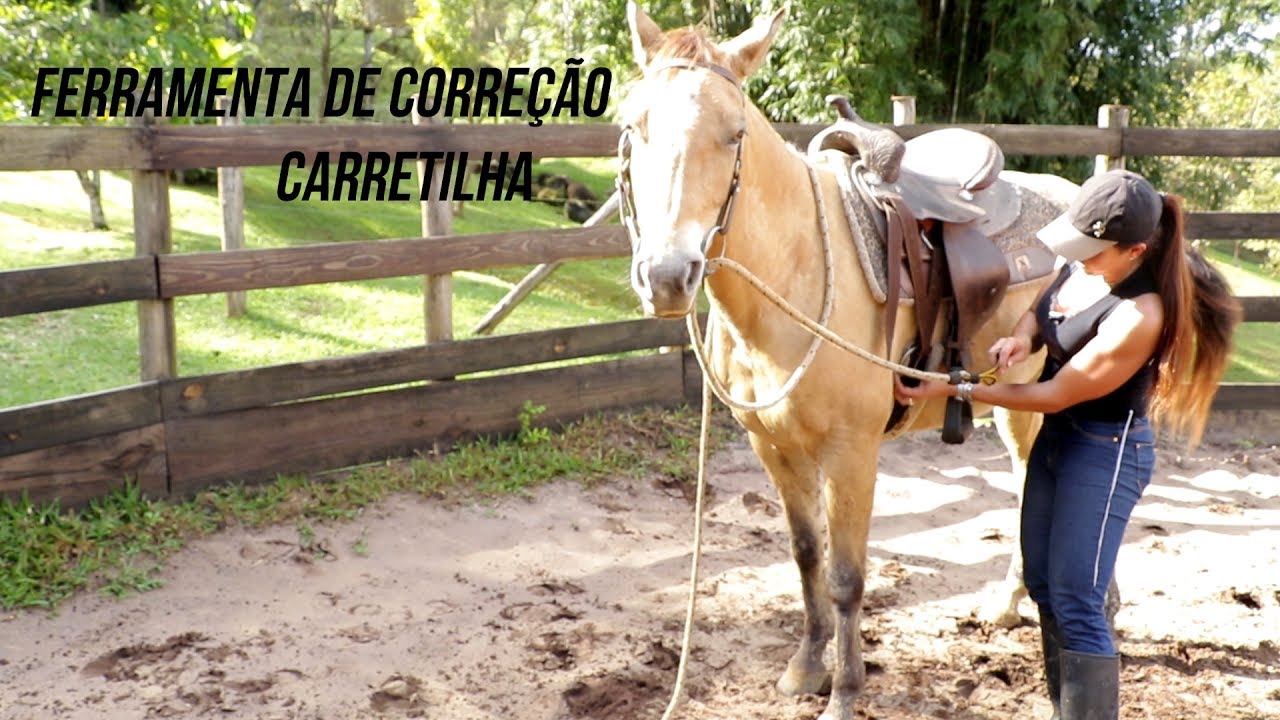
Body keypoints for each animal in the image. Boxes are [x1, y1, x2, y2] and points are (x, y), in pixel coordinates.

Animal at [618, 5, 1082, 718]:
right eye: (633, 128)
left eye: (734, 134)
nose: (668, 276)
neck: (798, 268)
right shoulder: (773, 447)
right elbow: (807, 557)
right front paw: (805, 670)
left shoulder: (851, 451)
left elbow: (845, 576)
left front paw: (845, 692)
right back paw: (1013, 606)